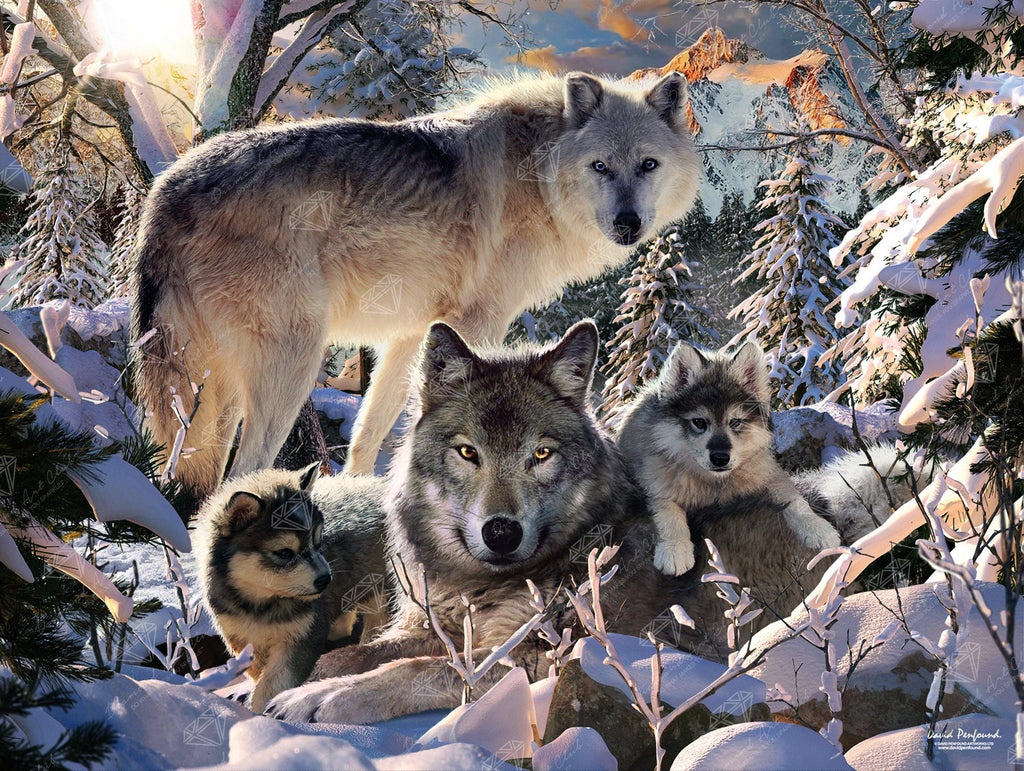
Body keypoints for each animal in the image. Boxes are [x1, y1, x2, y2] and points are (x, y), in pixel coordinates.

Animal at [131, 71, 701, 494]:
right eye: (600, 166)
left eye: (648, 165)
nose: (628, 224)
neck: (540, 175)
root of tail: (165, 195)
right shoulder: (479, 323)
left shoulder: (411, 333)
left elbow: (369, 432)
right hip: (293, 361)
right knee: (243, 472)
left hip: (217, 393)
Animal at [196, 465, 390, 712]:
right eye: (285, 552)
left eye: (318, 542)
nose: (326, 579)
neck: (262, 603)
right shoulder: (243, 637)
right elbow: (260, 675)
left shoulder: (302, 637)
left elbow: (273, 683)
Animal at [266, 321, 669, 723]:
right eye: (467, 452)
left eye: (541, 454)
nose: (502, 534)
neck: (477, 586)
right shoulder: (440, 626)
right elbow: (360, 652)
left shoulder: (554, 651)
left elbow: (421, 668)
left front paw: (321, 695)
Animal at [616, 341, 842, 577]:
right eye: (699, 422)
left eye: (735, 422)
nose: (720, 458)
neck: (715, 485)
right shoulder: (654, 483)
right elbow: (668, 510)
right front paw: (675, 549)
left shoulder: (768, 474)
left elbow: (794, 500)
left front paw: (818, 528)